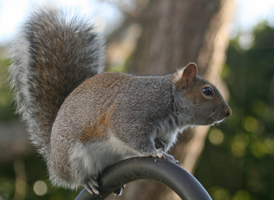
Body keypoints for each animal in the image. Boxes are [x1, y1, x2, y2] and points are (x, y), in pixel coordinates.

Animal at [8, 7, 231, 195]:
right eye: (207, 91)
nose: (228, 112)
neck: (168, 98)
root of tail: (53, 156)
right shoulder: (133, 110)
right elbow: (129, 132)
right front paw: (157, 153)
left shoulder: (165, 132)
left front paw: (161, 150)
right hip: (72, 158)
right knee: (74, 177)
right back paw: (87, 181)